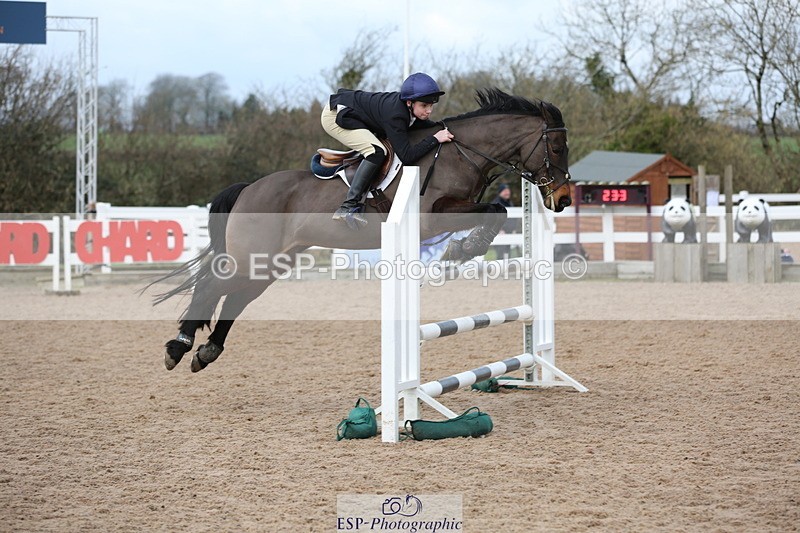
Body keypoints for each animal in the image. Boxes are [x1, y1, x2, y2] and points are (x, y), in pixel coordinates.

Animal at [150, 88, 572, 372]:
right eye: (556, 147)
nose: (564, 199)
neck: (459, 152)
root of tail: (248, 188)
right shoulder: (433, 216)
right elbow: (495, 211)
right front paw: (461, 250)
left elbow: (495, 213)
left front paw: (461, 251)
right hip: (250, 257)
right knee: (211, 287)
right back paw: (177, 348)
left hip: (269, 263)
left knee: (235, 298)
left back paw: (206, 352)